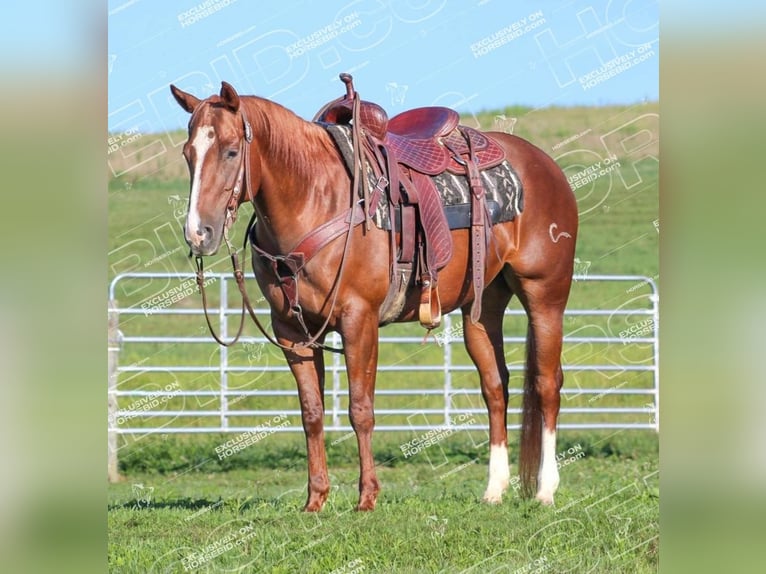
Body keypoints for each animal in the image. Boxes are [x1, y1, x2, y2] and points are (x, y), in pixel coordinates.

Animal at [168, 77, 576, 512]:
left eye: (231, 150)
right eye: (188, 153)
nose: (198, 233)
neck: (315, 196)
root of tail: (544, 164)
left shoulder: (358, 321)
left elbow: (360, 409)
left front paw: (366, 497)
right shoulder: (291, 331)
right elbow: (311, 412)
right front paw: (316, 499)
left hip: (545, 296)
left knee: (547, 384)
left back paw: (546, 490)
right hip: (481, 308)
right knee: (495, 386)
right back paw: (494, 490)